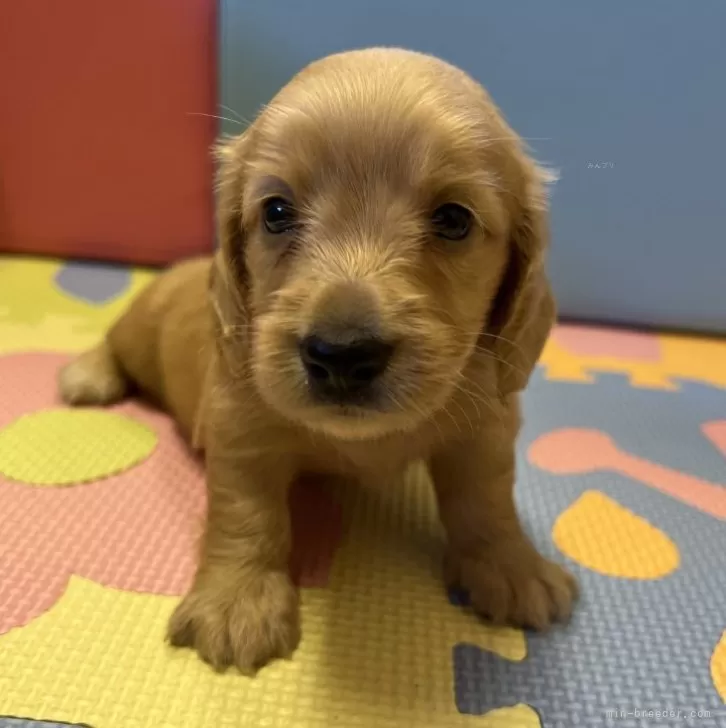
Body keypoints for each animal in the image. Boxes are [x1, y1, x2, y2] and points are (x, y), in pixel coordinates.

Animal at [59, 47, 576, 672]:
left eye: (454, 219)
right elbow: (246, 514)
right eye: (277, 211)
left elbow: (488, 498)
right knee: (112, 338)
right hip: (140, 326)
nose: (342, 354)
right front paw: (237, 602)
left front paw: (512, 566)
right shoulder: (240, 430)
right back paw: (89, 374)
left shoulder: (486, 424)